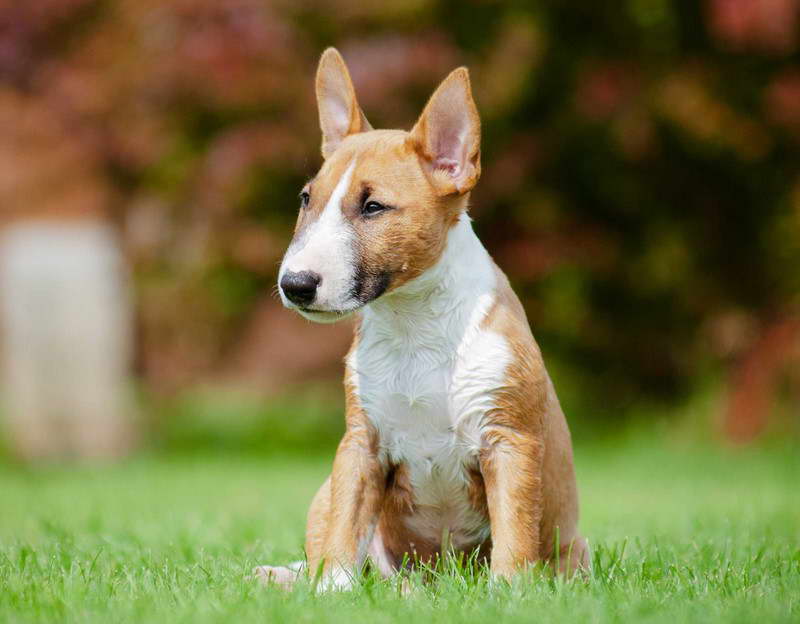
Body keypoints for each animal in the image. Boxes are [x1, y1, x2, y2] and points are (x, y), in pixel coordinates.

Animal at [256, 48, 588, 588]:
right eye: (307, 200)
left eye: (373, 207)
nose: (296, 285)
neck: (414, 324)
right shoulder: (361, 445)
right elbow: (342, 533)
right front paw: (331, 592)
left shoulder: (509, 443)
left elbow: (514, 535)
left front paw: (510, 592)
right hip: (326, 495)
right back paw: (281, 576)